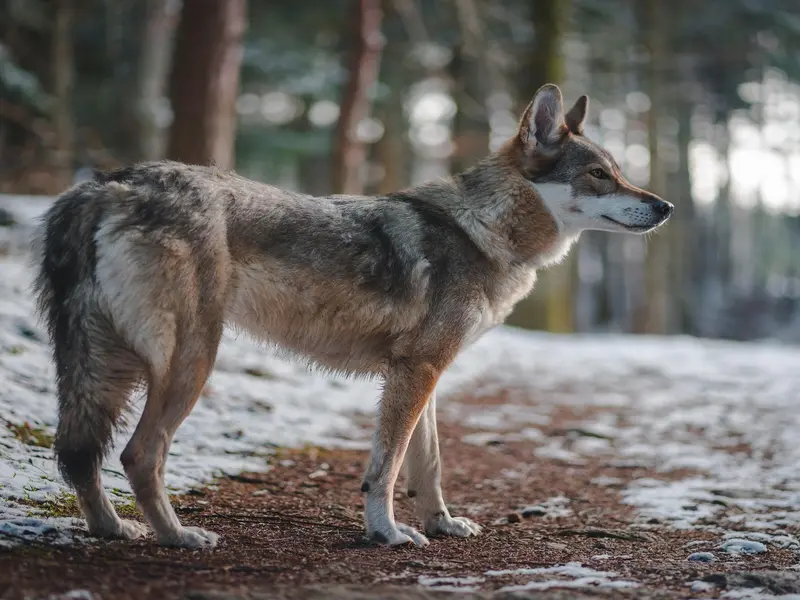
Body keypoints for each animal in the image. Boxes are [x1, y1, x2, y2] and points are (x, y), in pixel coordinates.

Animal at [33, 84, 672, 549]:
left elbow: (428, 464)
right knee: (138, 455)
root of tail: (106, 184)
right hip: (189, 362)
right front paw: (386, 533)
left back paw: (112, 529)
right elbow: (386, 469)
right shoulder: (416, 372)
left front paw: (442, 525)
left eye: (619, 171)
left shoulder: (424, 373)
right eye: (599, 175)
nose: (666, 206)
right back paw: (178, 537)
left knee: (79, 454)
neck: (483, 230)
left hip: (106, 367)